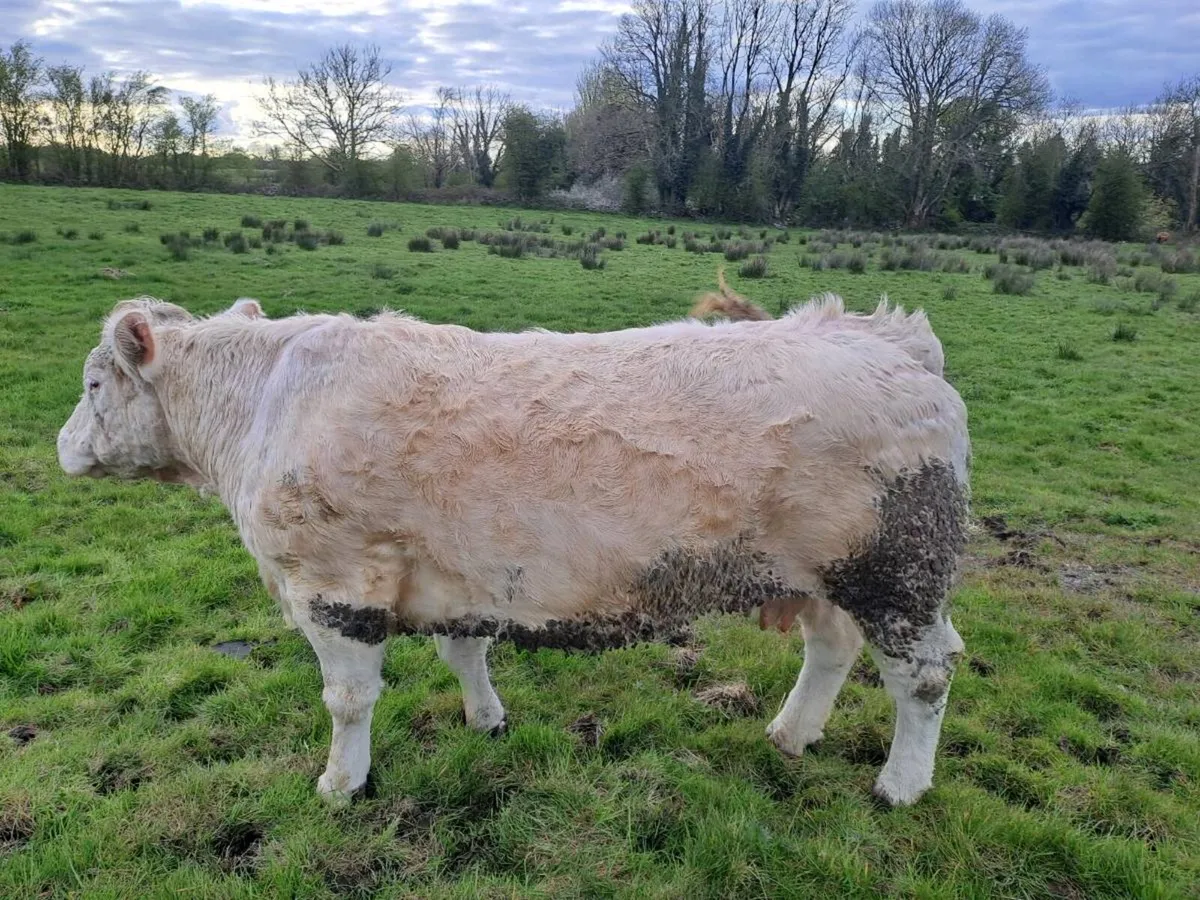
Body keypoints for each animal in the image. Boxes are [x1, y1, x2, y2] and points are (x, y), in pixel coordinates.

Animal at [57, 292, 970, 808]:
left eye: (95, 384)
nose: (63, 447)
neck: (262, 409)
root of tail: (888, 338)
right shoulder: (462, 575)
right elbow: (465, 654)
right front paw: (486, 720)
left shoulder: (334, 585)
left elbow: (348, 702)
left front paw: (341, 785)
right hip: (828, 574)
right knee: (831, 647)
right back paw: (791, 733)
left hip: (900, 573)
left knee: (924, 676)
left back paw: (900, 786)